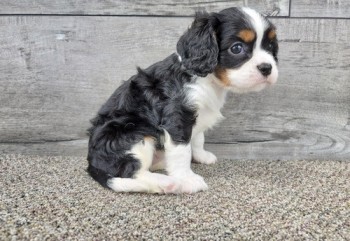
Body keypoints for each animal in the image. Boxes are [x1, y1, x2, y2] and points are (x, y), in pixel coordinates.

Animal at [87, 7, 278, 194]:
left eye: (270, 46)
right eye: (236, 48)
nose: (267, 68)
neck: (206, 80)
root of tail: (92, 163)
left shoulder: (198, 115)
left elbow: (198, 138)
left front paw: (201, 156)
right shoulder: (178, 116)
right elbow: (182, 151)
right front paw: (187, 179)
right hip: (134, 132)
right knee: (131, 172)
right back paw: (167, 182)